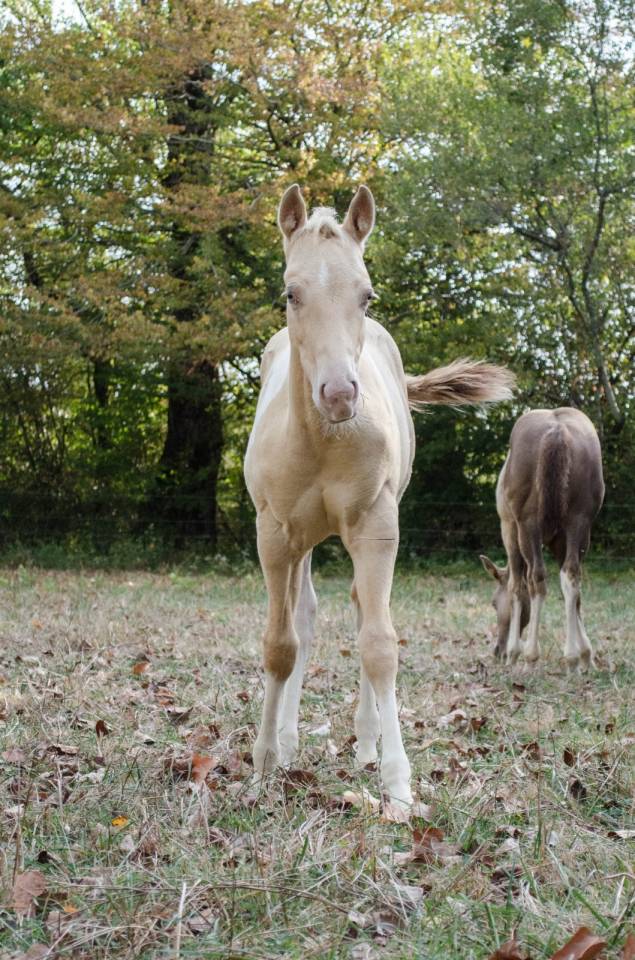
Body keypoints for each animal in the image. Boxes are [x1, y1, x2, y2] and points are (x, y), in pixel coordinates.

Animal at [245, 184, 514, 810]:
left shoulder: (376, 526)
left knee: (361, 612)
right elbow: (279, 645)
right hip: (300, 542)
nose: (341, 394)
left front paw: (398, 780)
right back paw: (288, 740)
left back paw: (365, 742)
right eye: (290, 292)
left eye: (366, 295)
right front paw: (265, 762)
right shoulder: (274, 534)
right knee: (304, 618)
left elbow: (378, 643)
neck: (323, 439)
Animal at [481, 407, 604, 671]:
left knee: (535, 578)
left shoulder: (509, 529)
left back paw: (531, 657)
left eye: (494, 603)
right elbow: (574, 596)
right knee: (571, 575)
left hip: (528, 526)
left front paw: (514, 653)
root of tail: (557, 431)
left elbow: (517, 586)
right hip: (579, 521)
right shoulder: (562, 540)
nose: (497, 651)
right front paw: (585, 655)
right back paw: (572, 657)